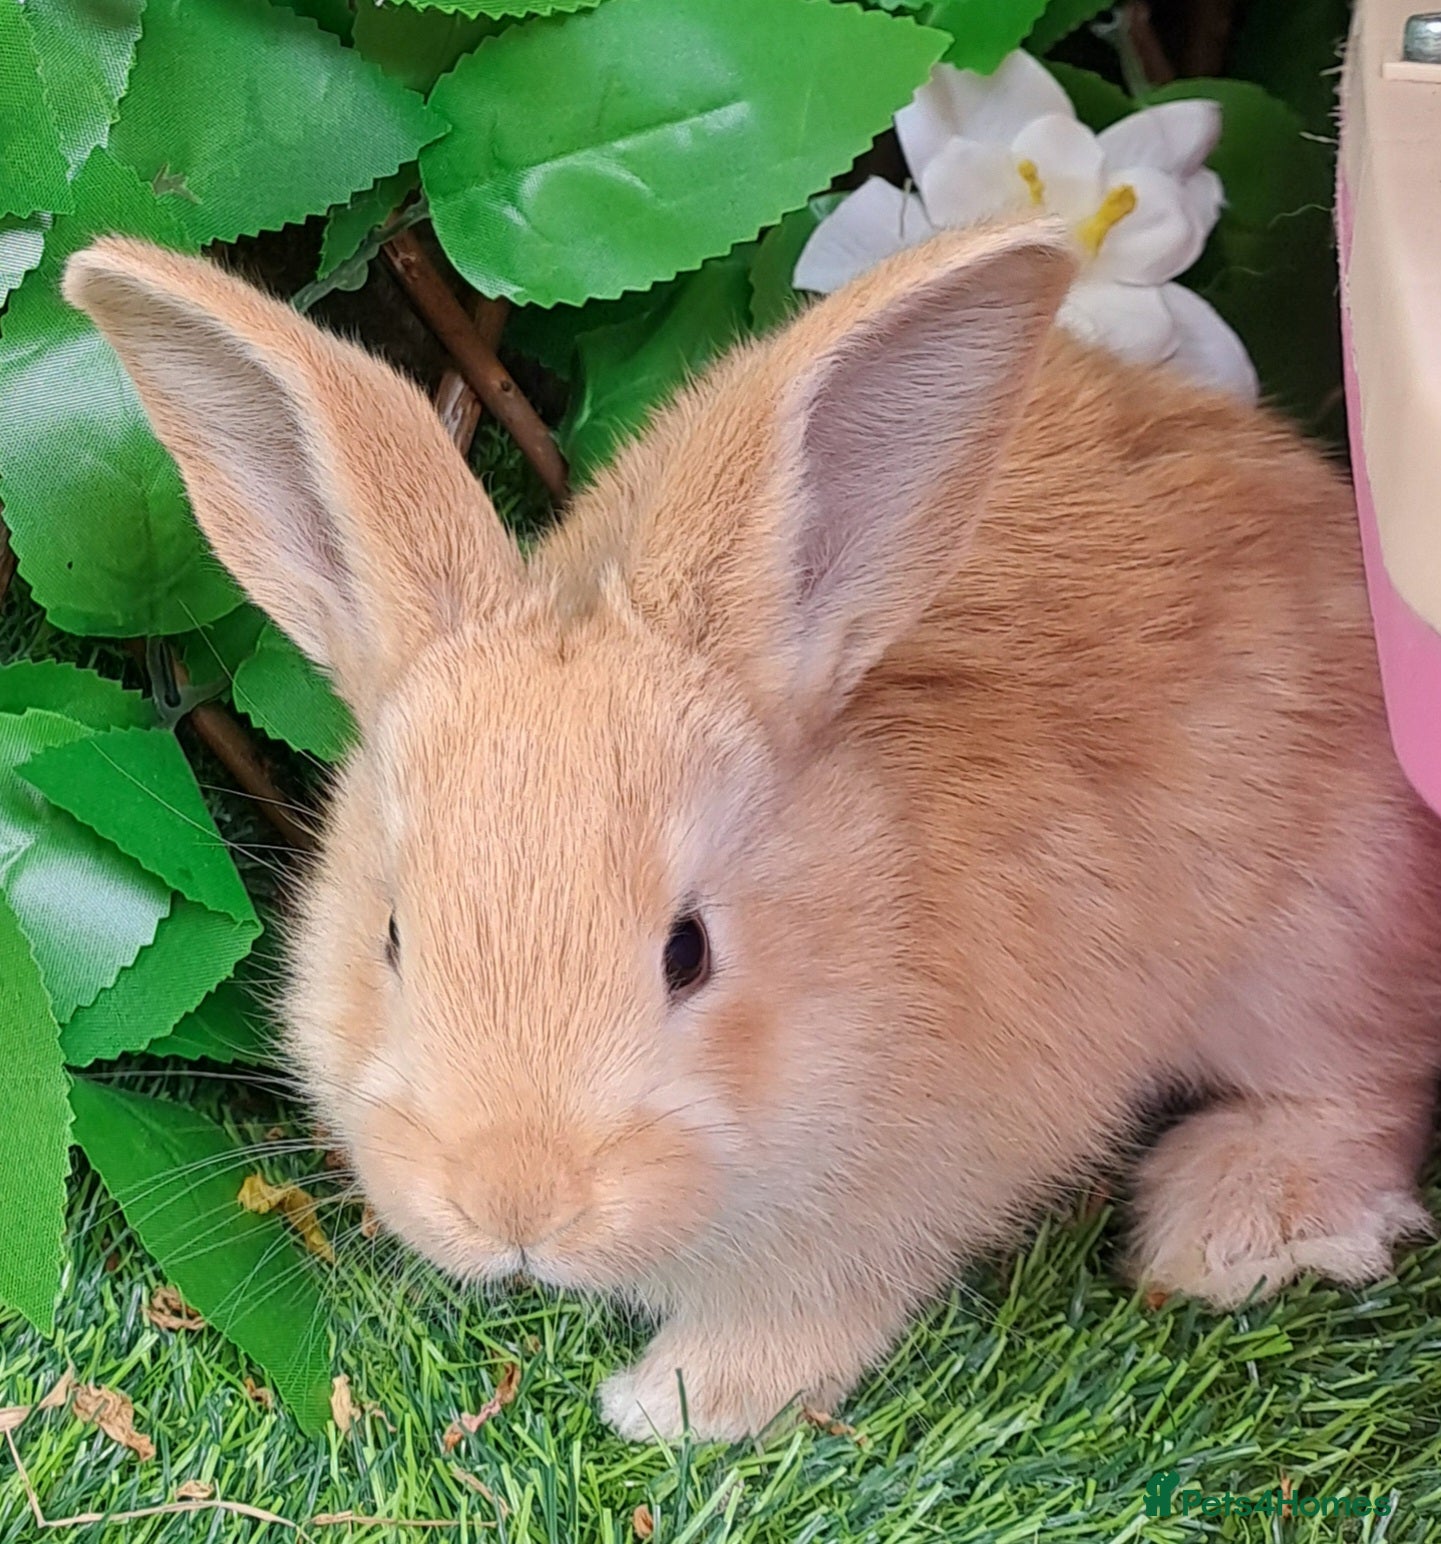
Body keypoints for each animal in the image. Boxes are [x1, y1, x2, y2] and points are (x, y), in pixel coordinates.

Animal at [66, 220, 1441, 1443]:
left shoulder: (900, 1194)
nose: (517, 1206)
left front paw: (675, 1403)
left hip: (1310, 941)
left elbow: (809, 1310)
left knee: (1367, 1086)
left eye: (690, 952)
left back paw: (1226, 1228)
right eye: (393, 937)